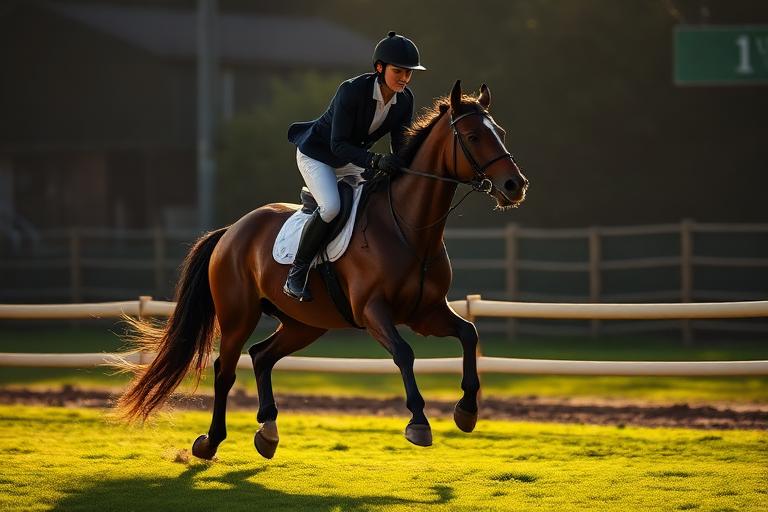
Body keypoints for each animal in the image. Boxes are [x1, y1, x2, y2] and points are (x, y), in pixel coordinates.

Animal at [116, 80, 529, 460]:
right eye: (473, 136)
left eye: (501, 132)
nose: (515, 186)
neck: (408, 227)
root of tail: (231, 231)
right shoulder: (373, 311)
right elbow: (404, 353)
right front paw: (418, 423)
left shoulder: (425, 312)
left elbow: (469, 334)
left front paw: (467, 411)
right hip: (238, 315)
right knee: (226, 369)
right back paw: (210, 442)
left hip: (305, 323)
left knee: (262, 355)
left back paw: (267, 432)